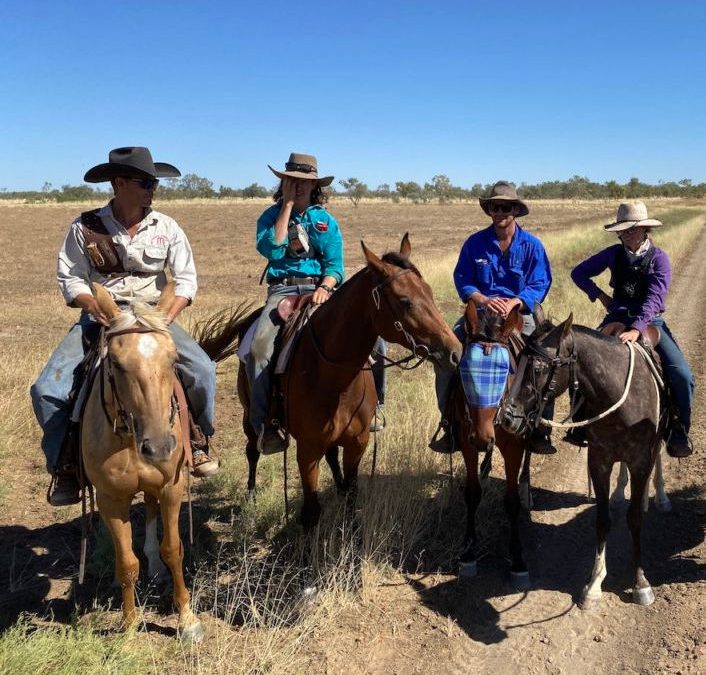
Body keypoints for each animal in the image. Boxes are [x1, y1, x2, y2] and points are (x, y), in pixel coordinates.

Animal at [83, 282, 204, 640]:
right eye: (116, 363)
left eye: (174, 358)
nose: (160, 446)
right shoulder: (111, 499)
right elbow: (126, 563)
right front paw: (128, 624)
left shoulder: (171, 487)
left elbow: (173, 549)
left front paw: (187, 620)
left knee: (150, 509)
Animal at [232, 238, 462, 532]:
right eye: (405, 302)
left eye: (430, 293)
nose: (455, 352)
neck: (333, 377)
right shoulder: (307, 450)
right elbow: (311, 510)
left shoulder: (357, 442)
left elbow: (353, 494)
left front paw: (352, 528)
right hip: (249, 415)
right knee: (252, 451)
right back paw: (250, 494)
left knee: (331, 455)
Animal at [442, 304, 532, 588]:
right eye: (464, 371)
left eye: (505, 373)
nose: (483, 438)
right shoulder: (467, 441)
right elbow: (472, 494)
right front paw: (468, 552)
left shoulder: (513, 447)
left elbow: (512, 501)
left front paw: (518, 560)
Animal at [498, 314, 664, 608]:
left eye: (538, 368)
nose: (507, 418)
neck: (619, 396)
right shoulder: (599, 461)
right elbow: (602, 520)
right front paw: (594, 583)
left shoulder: (640, 461)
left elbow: (634, 519)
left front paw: (640, 583)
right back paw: (621, 494)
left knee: (659, 463)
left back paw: (657, 496)